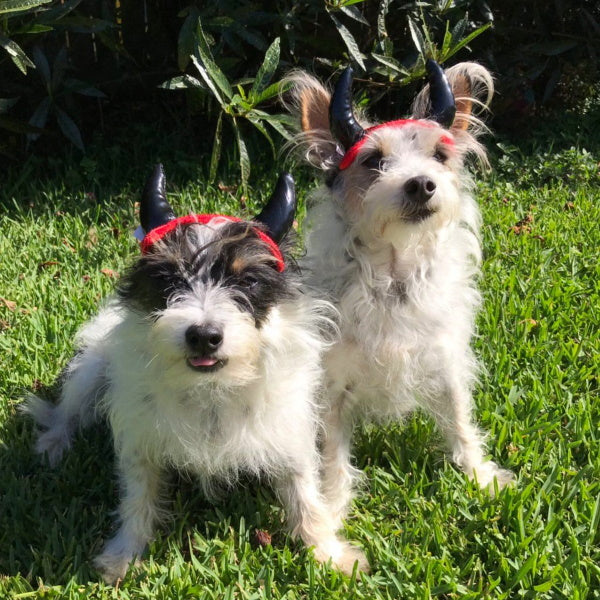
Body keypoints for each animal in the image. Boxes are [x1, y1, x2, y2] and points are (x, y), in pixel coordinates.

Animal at [21, 166, 368, 584]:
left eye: (248, 282)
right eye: (169, 280)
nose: (204, 336)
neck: (212, 389)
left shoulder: (290, 438)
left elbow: (306, 496)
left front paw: (329, 554)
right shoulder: (140, 443)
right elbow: (138, 498)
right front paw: (123, 555)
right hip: (90, 371)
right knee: (66, 411)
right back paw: (54, 443)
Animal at [288, 62, 516, 528]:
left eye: (440, 156)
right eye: (373, 160)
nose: (421, 184)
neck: (394, 278)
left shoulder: (446, 362)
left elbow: (460, 418)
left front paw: (480, 477)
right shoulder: (332, 386)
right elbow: (333, 451)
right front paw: (334, 505)